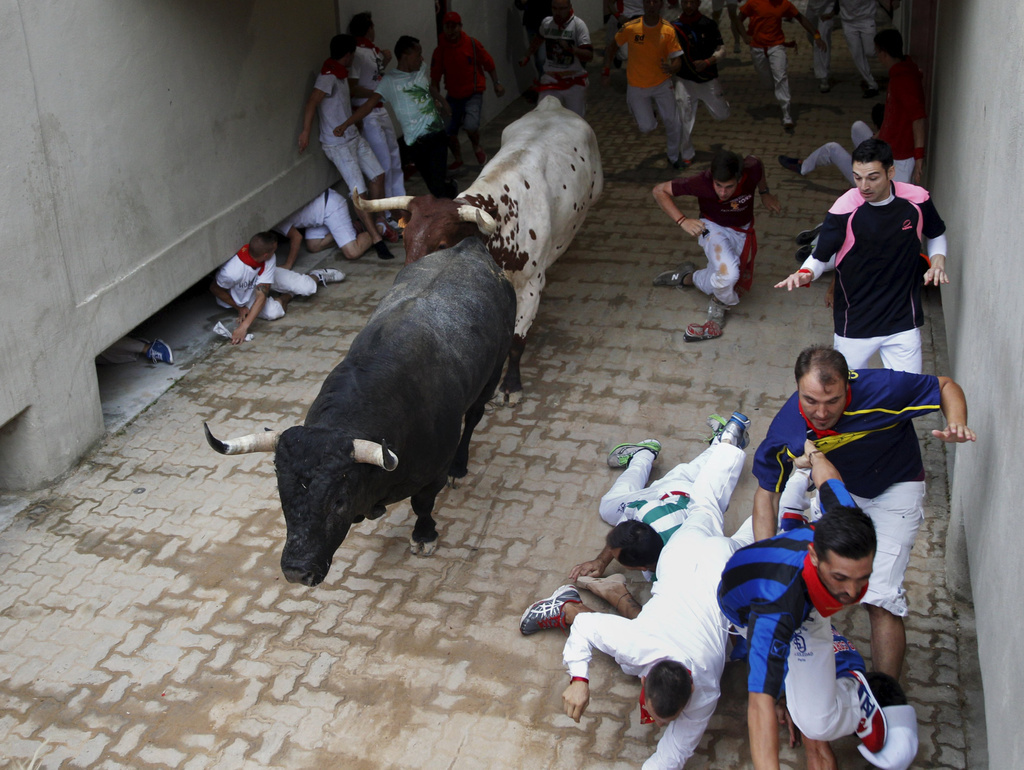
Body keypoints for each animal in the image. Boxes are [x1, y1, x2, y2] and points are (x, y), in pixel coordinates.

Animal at [203, 237, 516, 585]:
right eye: (282, 495)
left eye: (338, 501)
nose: (297, 570)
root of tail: (470, 246)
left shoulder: (430, 474)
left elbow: (422, 504)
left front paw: (424, 536)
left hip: (493, 371)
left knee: (474, 416)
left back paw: (459, 467)